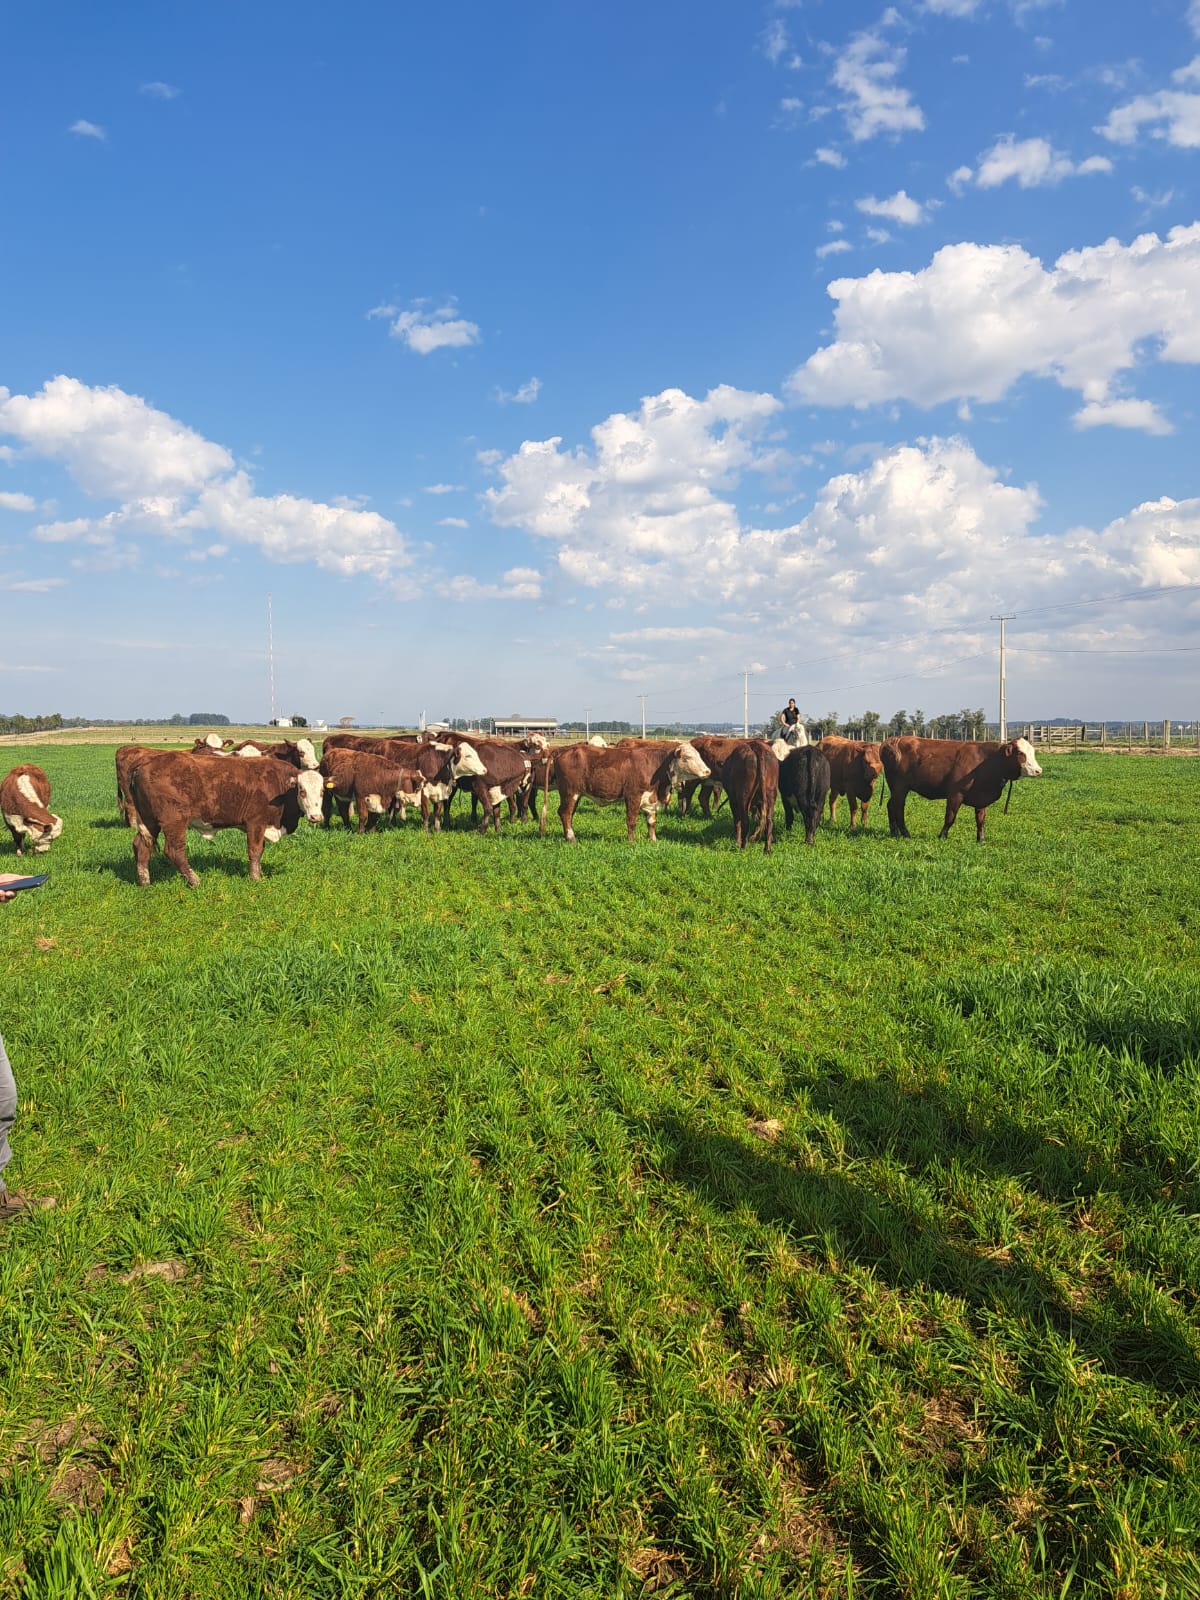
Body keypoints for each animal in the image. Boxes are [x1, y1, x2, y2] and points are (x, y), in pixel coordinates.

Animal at [128, 753, 325, 885]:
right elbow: (254, 851)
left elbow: (259, 851)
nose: (316, 816)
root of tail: (143, 765)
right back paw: (195, 881)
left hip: (150, 821)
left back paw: (145, 882)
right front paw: (255, 878)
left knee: (141, 846)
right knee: (175, 851)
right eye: (302, 790)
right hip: (174, 821)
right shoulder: (256, 822)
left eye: (323, 791)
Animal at [542, 740, 710, 843]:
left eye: (699, 756)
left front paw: (653, 840)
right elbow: (631, 821)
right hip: (569, 792)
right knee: (564, 813)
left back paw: (568, 836)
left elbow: (651, 822)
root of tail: (563, 749)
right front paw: (631, 842)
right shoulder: (633, 796)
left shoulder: (650, 800)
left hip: (575, 794)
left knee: (569, 814)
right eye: (687, 757)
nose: (708, 771)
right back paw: (571, 838)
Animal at [880, 736, 1042, 843]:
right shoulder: (955, 794)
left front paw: (981, 840)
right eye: (1021, 753)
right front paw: (942, 836)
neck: (988, 761)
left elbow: (980, 820)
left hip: (896, 788)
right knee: (898, 807)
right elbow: (950, 817)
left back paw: (894, 832)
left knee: (890, 805)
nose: (1038, 770)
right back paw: (905, 834)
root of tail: (893, 741)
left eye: (1033, 752)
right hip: (900, 787)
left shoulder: (981, 798)